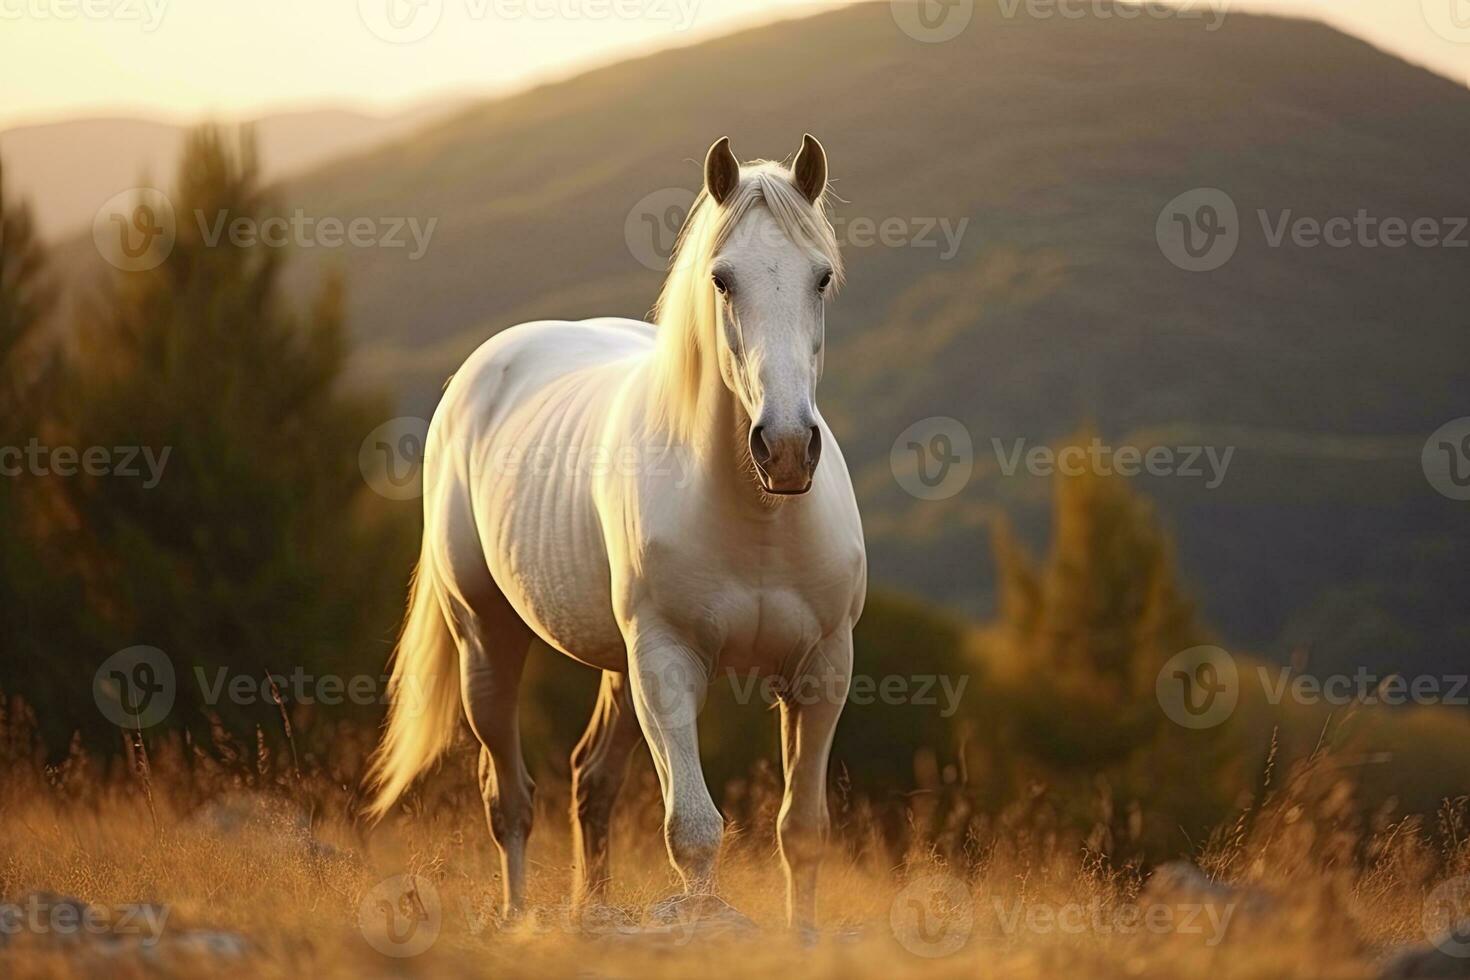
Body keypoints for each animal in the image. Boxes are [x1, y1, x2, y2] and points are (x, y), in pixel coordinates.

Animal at [367, 134, 864, 934]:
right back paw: (518, 917)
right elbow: (693, 833)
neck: (756, 520)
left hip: (617, 668)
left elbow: (803, 832)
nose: (786, 448)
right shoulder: (667, 665)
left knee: (590, 784)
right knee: (508, 798)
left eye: (820, 276)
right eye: (721, 280)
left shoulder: (822, 671)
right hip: (488, 643)